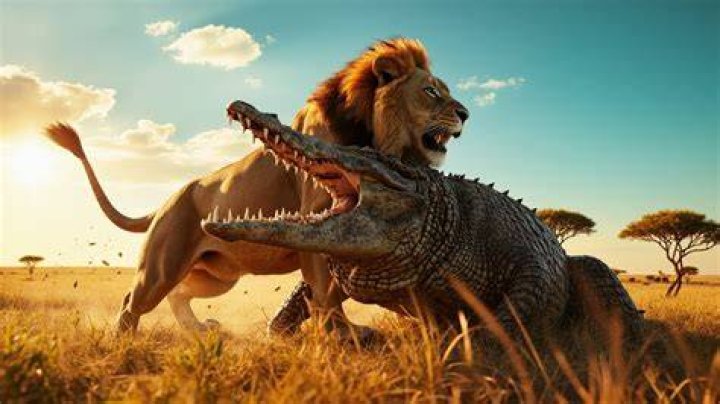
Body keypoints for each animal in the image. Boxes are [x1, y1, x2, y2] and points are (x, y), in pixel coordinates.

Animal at [46, 38, 469, 335]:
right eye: (432, 91)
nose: (465, 112)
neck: (375, 134)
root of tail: (169, 198)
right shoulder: (319, 218)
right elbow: (325, 291)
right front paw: (342, 333)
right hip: (160, 269)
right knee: (131, 301)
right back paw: (124, 341)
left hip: (217, 276)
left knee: (179, 295)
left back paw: (199, 329)